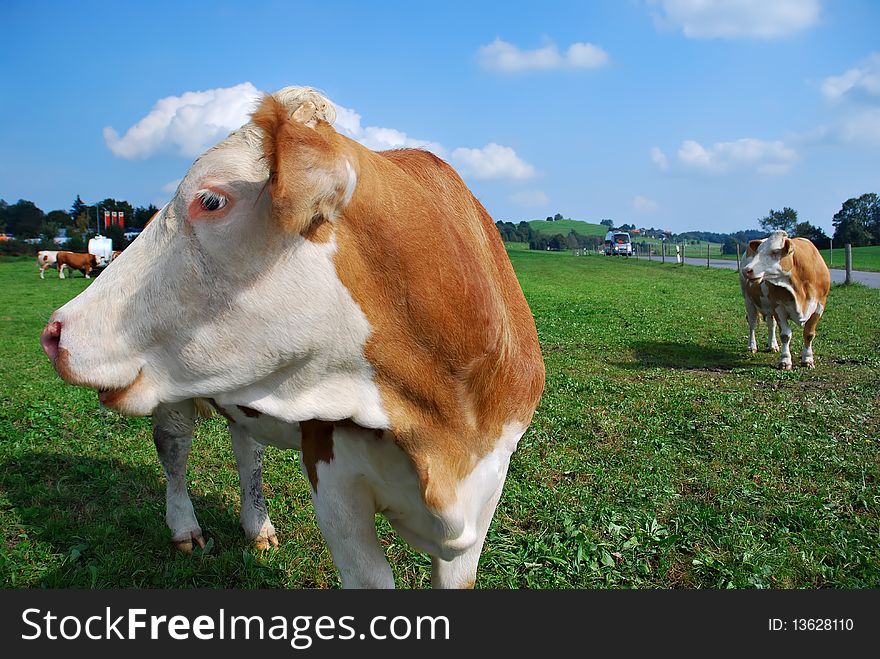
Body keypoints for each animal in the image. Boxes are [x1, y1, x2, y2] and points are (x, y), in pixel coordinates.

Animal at [46, 86, 552, 588]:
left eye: (211, 201)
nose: (54, 331)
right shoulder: (333, 483)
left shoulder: (488, 483)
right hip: (170, 393)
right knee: (174, 447)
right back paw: (185, 527)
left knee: (245, 446)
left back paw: (257, 527)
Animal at [740, 229, 828, 368]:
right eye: (758, 252)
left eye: (775, 251)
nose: (747, 270)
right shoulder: (778, 306)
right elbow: (785, 335)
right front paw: (785, 361)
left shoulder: (820, 305)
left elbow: (809, 334)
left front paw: (808, 359)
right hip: (748, 299)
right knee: (752, 323)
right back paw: (752, 346)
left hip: (768, 305)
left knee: (771, 324)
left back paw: (772, 345)